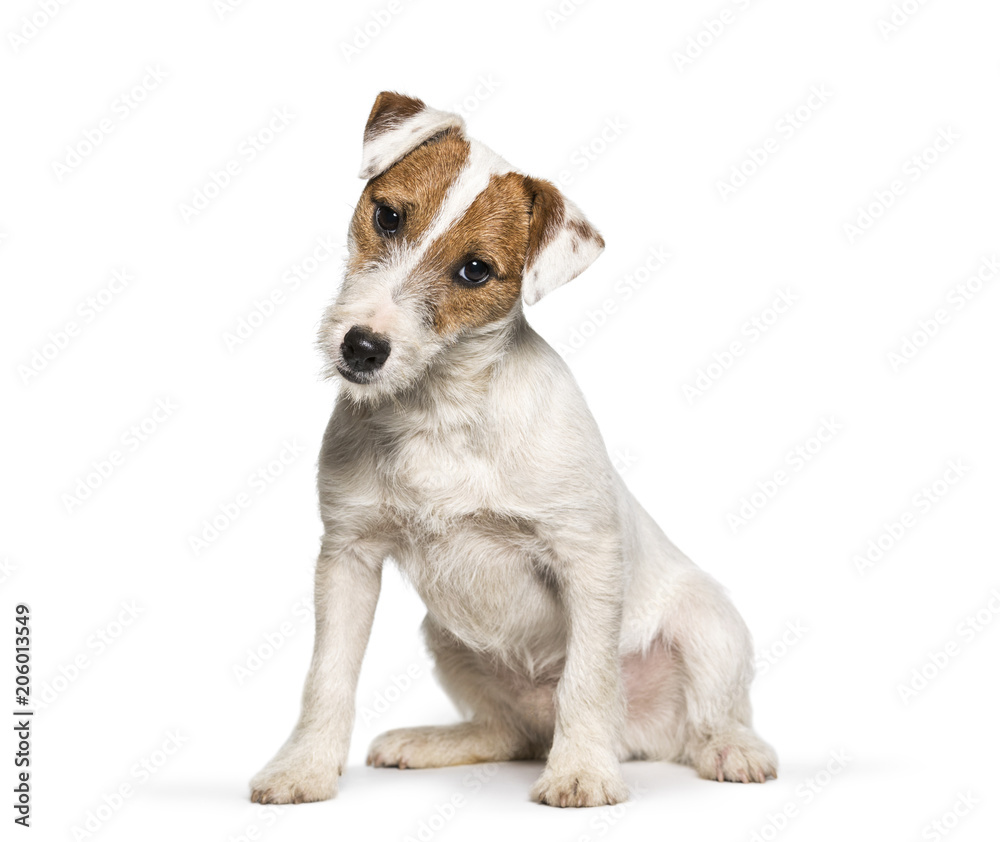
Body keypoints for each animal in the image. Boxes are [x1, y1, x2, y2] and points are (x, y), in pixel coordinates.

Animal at [250, 92, 780, 808]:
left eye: (476, 269)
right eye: (387, 216)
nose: (361, 348)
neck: (441, 410)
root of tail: (642, 740)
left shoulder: (587, 558)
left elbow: (588, 680)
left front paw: (581, 773)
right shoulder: (348, 556)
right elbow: (326, 675)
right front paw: (304, 767)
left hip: (710, 626)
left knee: (708, 716)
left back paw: (727, 748)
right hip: (449, 640)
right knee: (509, 732)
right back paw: (434, 741)